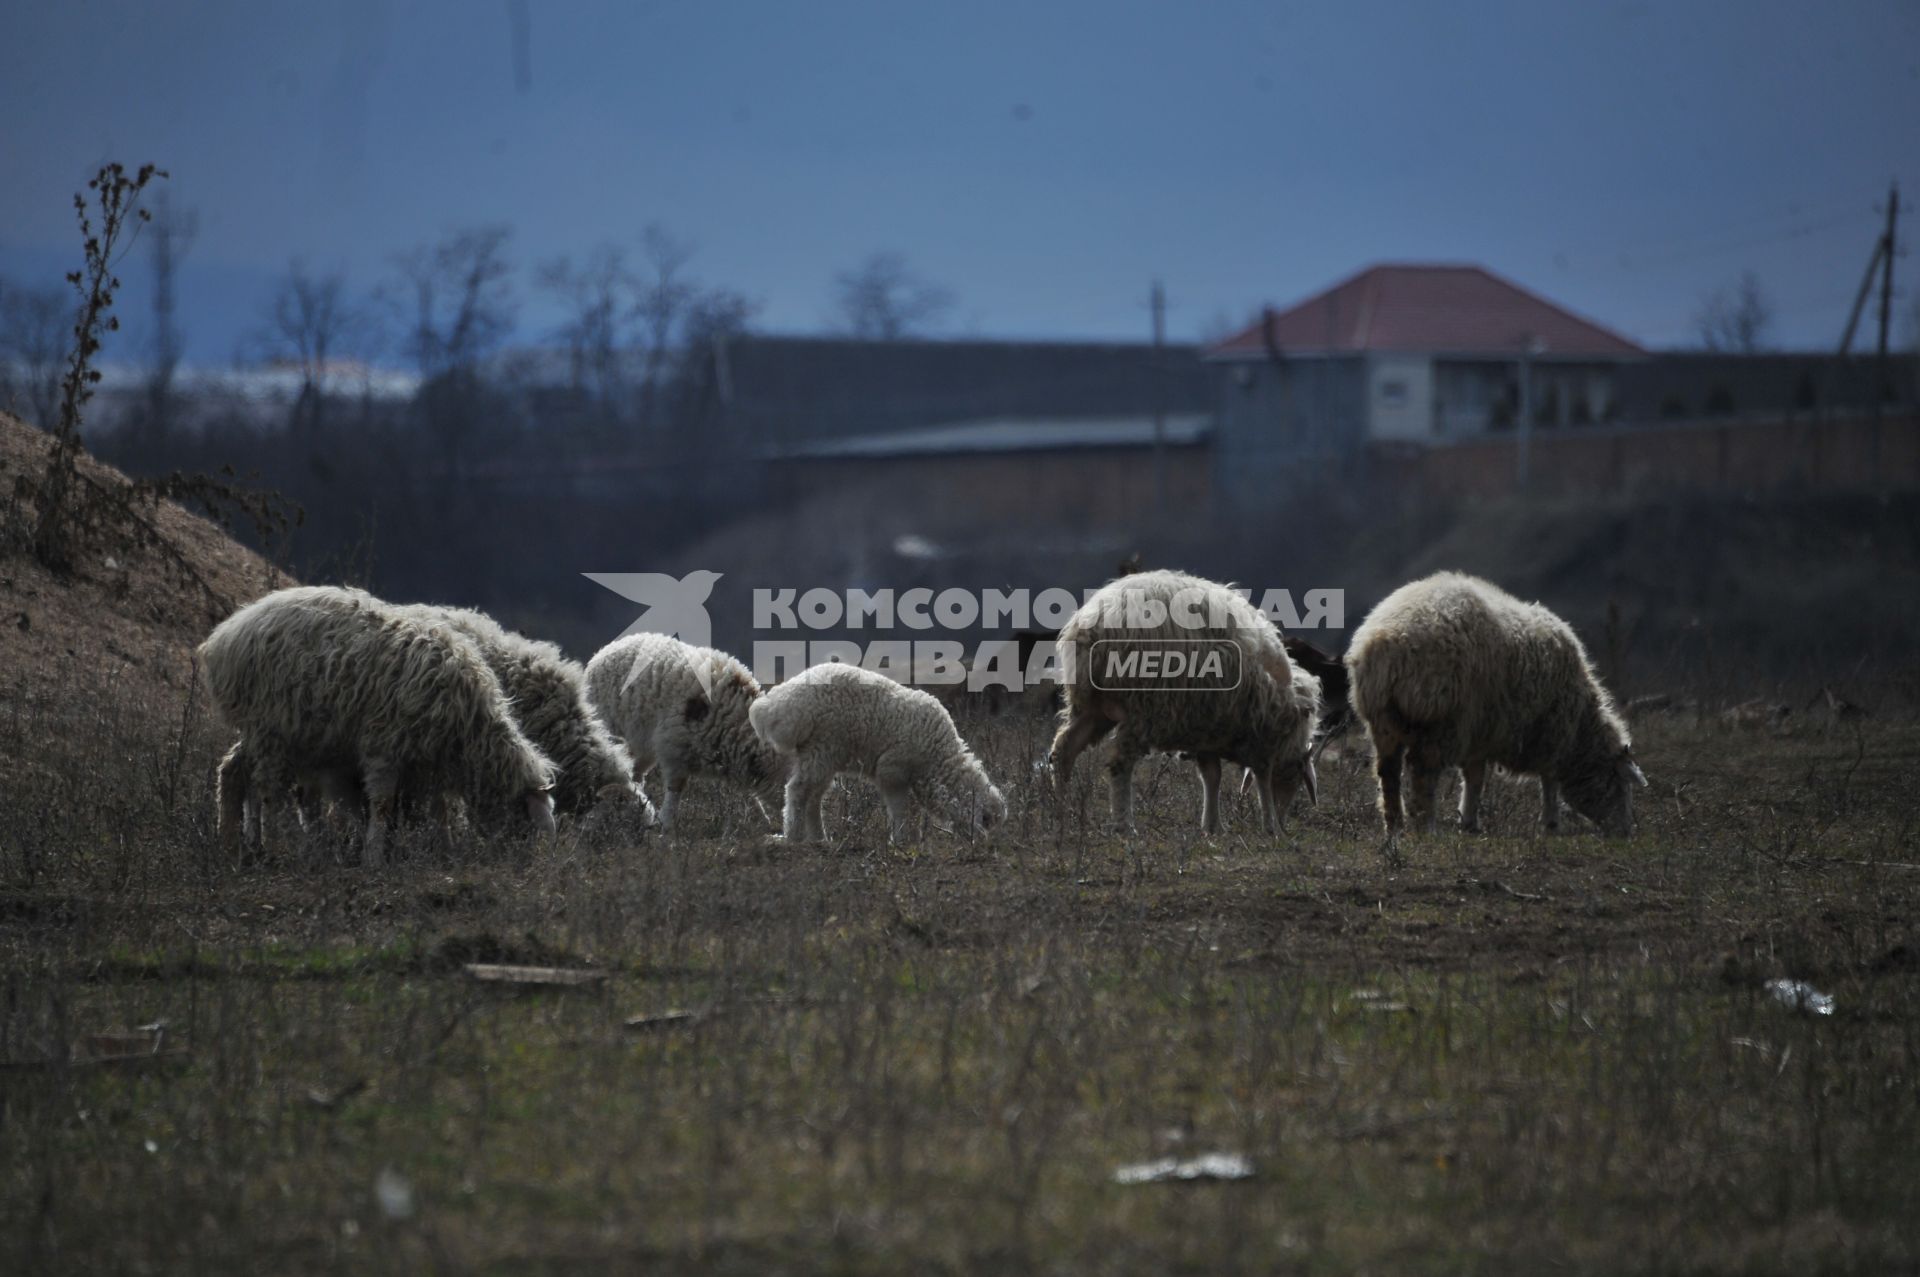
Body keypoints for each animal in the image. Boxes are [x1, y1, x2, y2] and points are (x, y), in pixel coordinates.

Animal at [198, 583, 560, 867]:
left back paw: (236, 844)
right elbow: (383, 805)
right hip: (271, 728)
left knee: (233, 771)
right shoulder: (384, 747)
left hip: (279, 732)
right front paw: (374, 857)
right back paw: (283, 847)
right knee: (269, 790)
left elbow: (439, 810)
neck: (470, 729)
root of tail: (223, 638)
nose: (520, 866)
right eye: (527, 826)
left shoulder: (427, 765)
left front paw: (444, 851)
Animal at [587, 633, 791, 833]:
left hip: (641, 743)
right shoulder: (674, 748)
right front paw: (666, 823)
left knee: (635, 772)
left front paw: (762, 819)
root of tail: (606, 650)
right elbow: (675, 787)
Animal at [744, 656, 1013, 844]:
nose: (982, 845)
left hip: (821, 755)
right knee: (798, 790)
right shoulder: (893, 770)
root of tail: (782, 704)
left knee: (813, 795)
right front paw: (901, 840)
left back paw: (819, 837)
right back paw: (794, 837)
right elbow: (898, 808)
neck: (938, 759)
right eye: (986, 821)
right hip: (823, 747)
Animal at [1052, 568, 1320, 837]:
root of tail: (1093, 622)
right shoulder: (1260, 737)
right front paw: (1270, 826)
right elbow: (1261, 778)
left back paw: (1062, 813)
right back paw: (1124, 826)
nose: (1284, 821)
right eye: (1297, 777)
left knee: (1064, 749)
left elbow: (1212, 775)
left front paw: (1213, 827)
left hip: (1093, 707)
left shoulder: (1207, 730)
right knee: (1120, 762)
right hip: (1143, 706)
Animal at [1344, 568, 1643, 844]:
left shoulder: (1480, 735)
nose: (1625, 833)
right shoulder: (1550, 734)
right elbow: (1546, 781)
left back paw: (1395, 827)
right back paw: (1426, 827)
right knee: (1423, 772)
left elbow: (1474, 777)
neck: (1581, 729)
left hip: (1384, 722)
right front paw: (1550, 824)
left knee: (1388, 772)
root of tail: (1384, 643)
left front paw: (1469, 822)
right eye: (1621, 783)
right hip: (1440, 721)